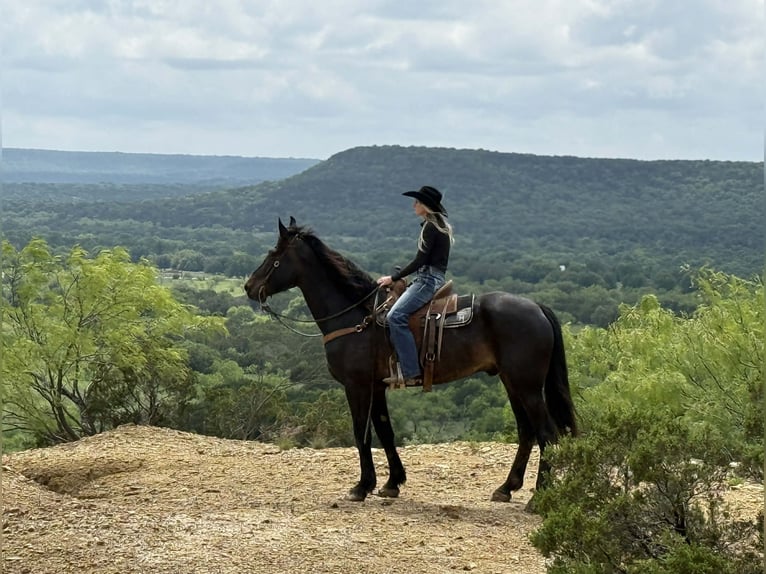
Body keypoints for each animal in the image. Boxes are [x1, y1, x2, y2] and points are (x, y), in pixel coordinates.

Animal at [244, 217, 577, 504]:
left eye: (274, 256)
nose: (249, 287)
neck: (357, 317)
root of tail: (536, 306)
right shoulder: (377, 386)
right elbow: (385, 431)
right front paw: (392, 483)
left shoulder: (357, 386)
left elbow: (361, 432)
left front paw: (361, 487)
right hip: (512, 383)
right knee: (527, 432)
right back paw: (506, 488)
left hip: (527, 386)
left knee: (546, 433)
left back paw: (538, 496)